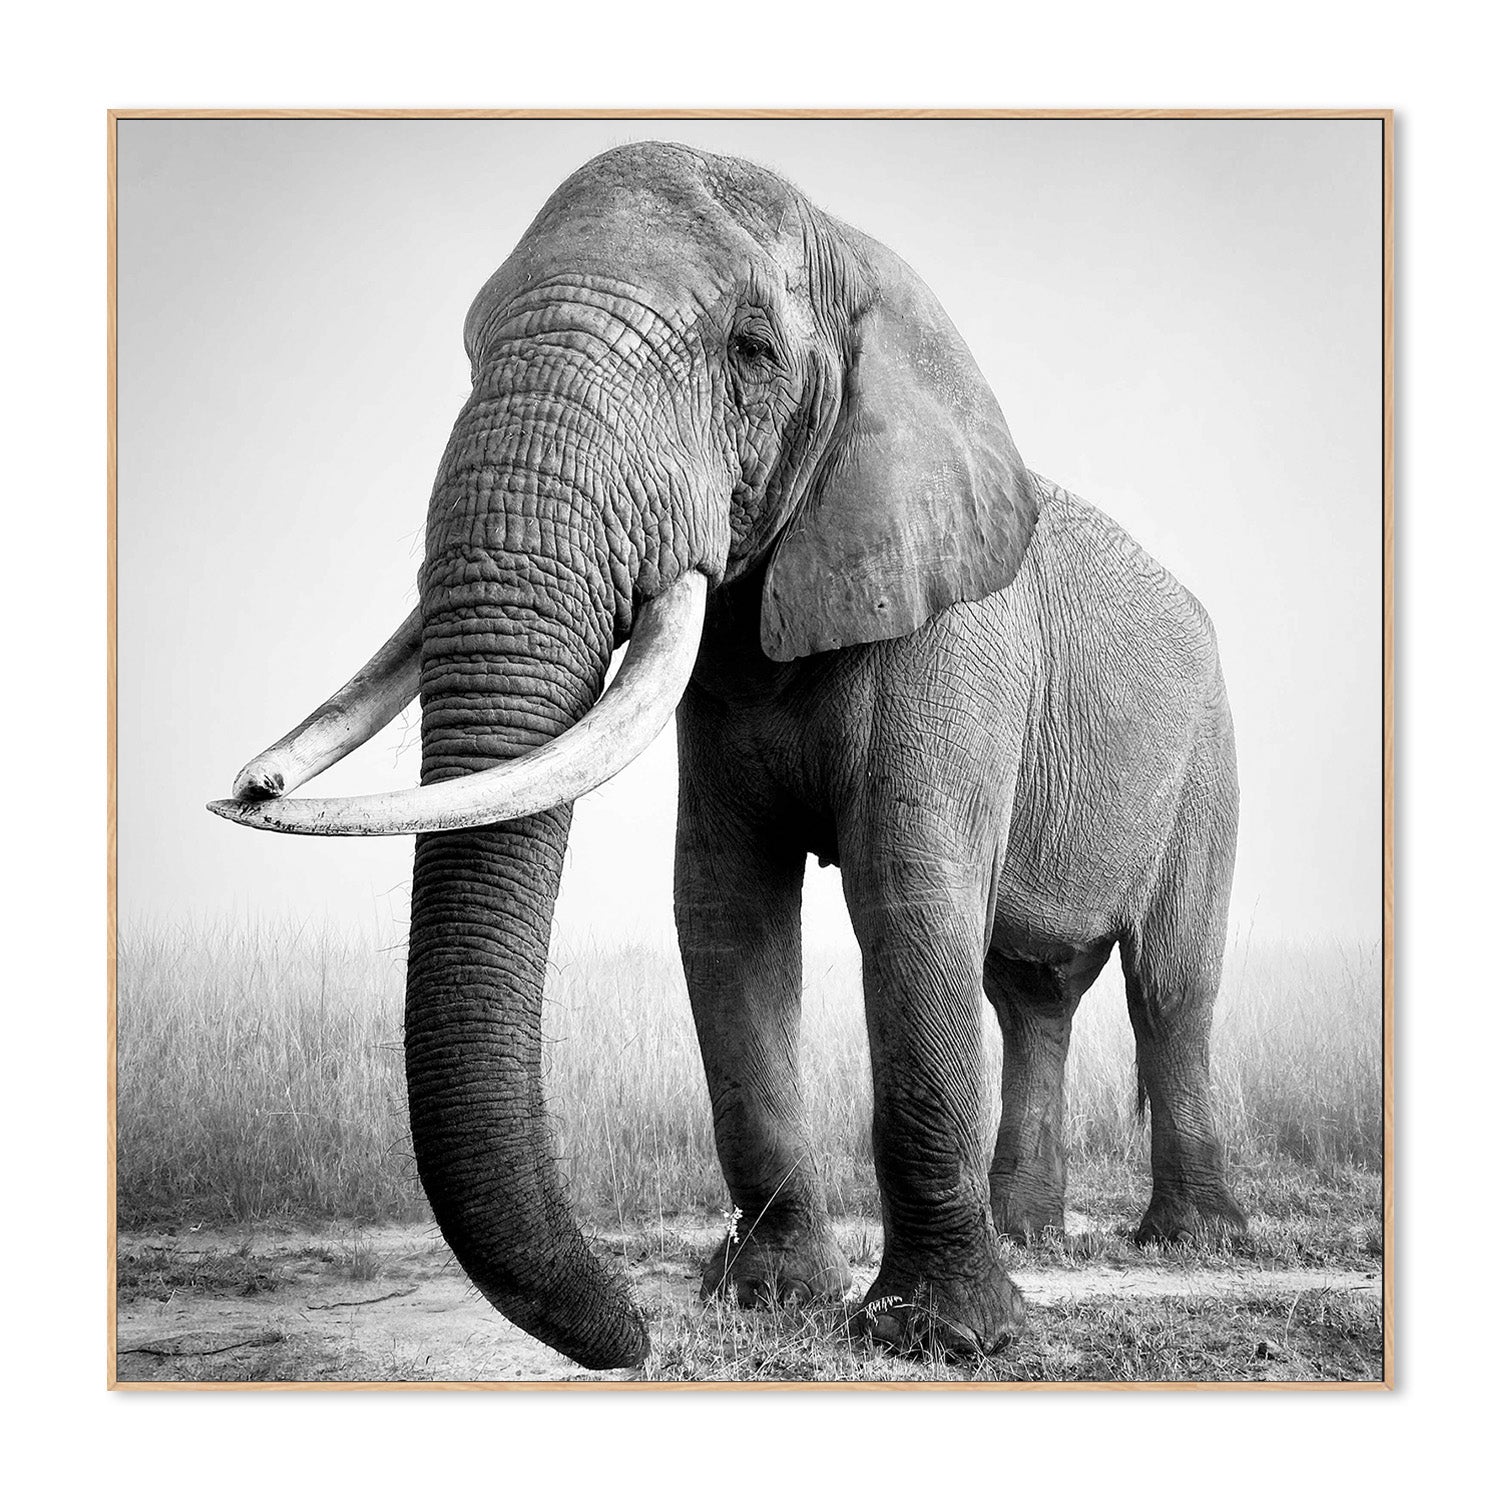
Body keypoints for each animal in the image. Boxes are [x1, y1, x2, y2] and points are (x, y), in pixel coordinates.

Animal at [210, 141, 1246, 1371]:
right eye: (467, 350)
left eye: (751, 351)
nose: (635, 1333)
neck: (861, 258)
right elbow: (727, 911)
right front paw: (772, 1299)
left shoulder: (953, 639)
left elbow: (910, 899)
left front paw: (945, 1339)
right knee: (1030, 991)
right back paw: (1031, 1233)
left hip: (1210, 754)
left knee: (1170, 981)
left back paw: (1189, 1244)